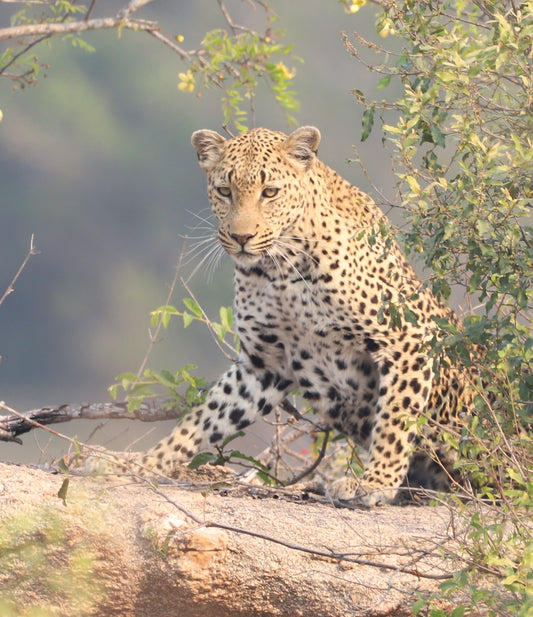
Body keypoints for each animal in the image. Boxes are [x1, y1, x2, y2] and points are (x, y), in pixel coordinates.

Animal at [89, 126, 476, 506]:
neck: (278, 270)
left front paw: (375, 483)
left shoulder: (408, 338)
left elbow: (395, 420)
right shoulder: (264, 364)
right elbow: (204, 418)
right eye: (225, 191)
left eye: (270, 192)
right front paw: (142, 463)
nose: (241, 237)